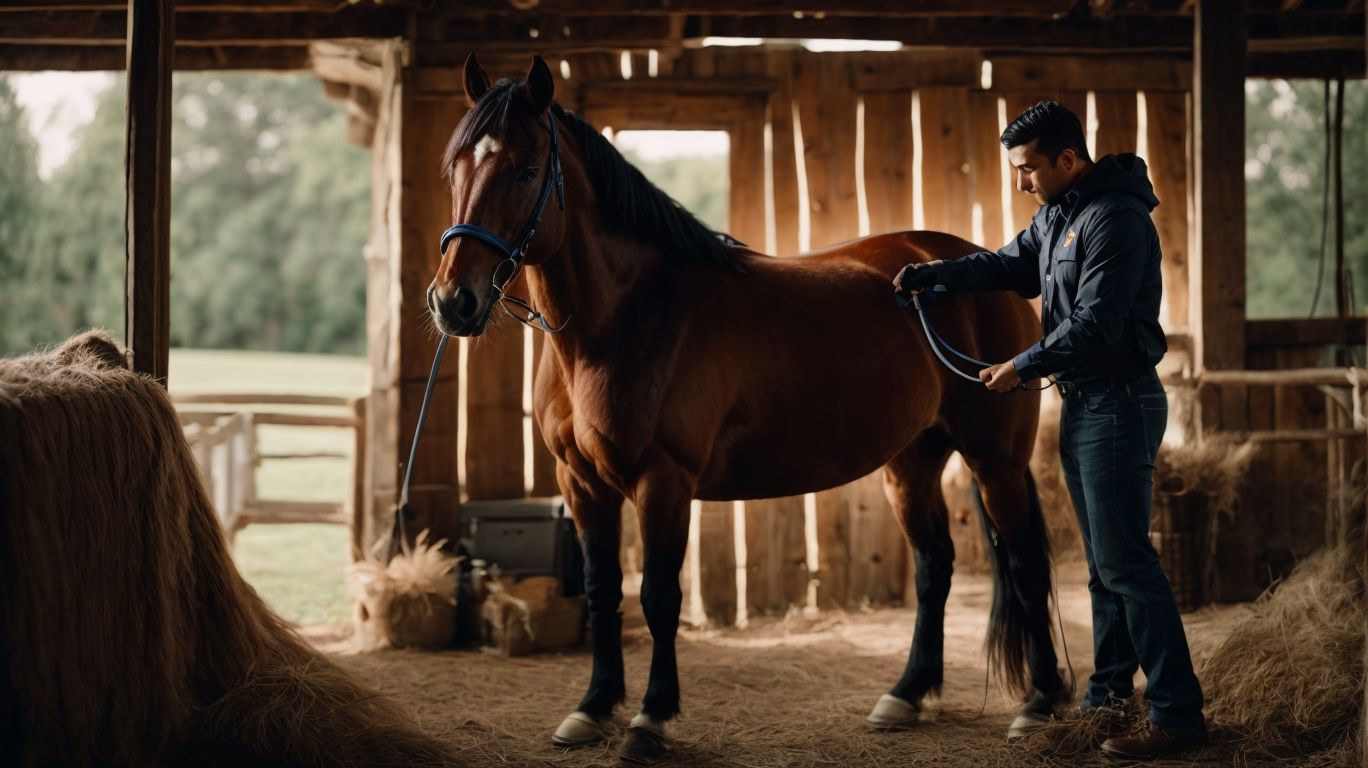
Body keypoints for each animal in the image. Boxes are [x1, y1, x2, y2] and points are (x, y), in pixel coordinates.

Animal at [429, 54, 1066, 763]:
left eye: (524, 169)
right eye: (455, 169)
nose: (454, 302)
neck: (627, 316)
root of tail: (975, 269)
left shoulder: (662, 483)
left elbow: (658, 597)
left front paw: (650, 718)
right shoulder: (582, 483)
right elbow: (601, 592)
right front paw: (592, 708)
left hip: (995, 461)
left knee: (1024, 563)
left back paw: (1039, 703)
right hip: (914, 460)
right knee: (935, 567)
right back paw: (904, 696)